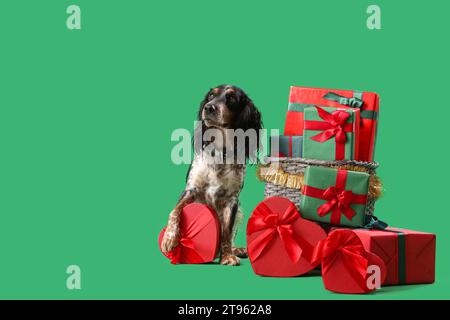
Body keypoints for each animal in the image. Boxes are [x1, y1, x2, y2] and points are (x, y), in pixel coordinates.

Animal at [160, 84, 262, 264]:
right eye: (211, 96)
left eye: (231, 98)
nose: (208, 108)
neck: (221, 152)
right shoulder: (191, 189)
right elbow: (175, 211)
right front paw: (169, 238)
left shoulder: (232, 200)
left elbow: (226, 232)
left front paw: (227, 256)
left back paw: (237, 250)